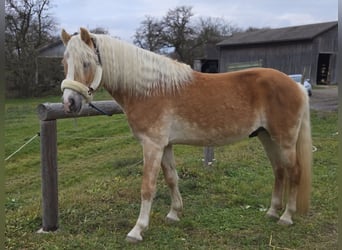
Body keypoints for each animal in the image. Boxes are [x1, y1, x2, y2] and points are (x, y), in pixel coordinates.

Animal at [59, 27, 312, 242]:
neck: (148, 90)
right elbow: (172, 178)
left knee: (294, 172)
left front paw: (137, 229)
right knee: (279, 171)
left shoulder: (152, 145)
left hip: (285, 140)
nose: (69, 103)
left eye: (86, 63)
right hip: (266, 137)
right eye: (64, 62)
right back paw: (272, 211)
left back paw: (286, 216)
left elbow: (147, 187)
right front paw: (174, 213)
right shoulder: (165, 145)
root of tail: (297, 85)